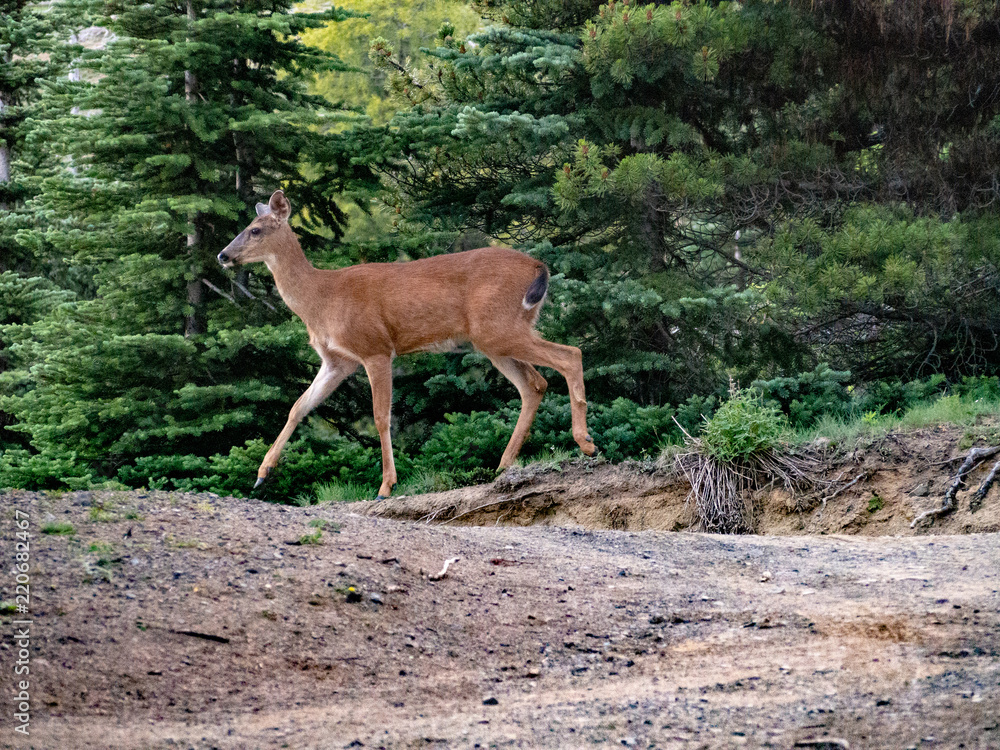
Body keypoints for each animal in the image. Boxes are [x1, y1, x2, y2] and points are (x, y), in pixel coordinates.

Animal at [217, 190, 596, 498]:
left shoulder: (375, 348)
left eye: (255, 229)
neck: (321, 299)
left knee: (571, 354)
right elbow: (298, 407)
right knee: (534, 384)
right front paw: (262, 474)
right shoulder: (338, 360)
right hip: (494, 338)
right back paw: (503, 465)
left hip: (498, 328)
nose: (223, 255)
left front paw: (386, 486)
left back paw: (585, 443)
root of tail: (538, 265)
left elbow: (381, 416)